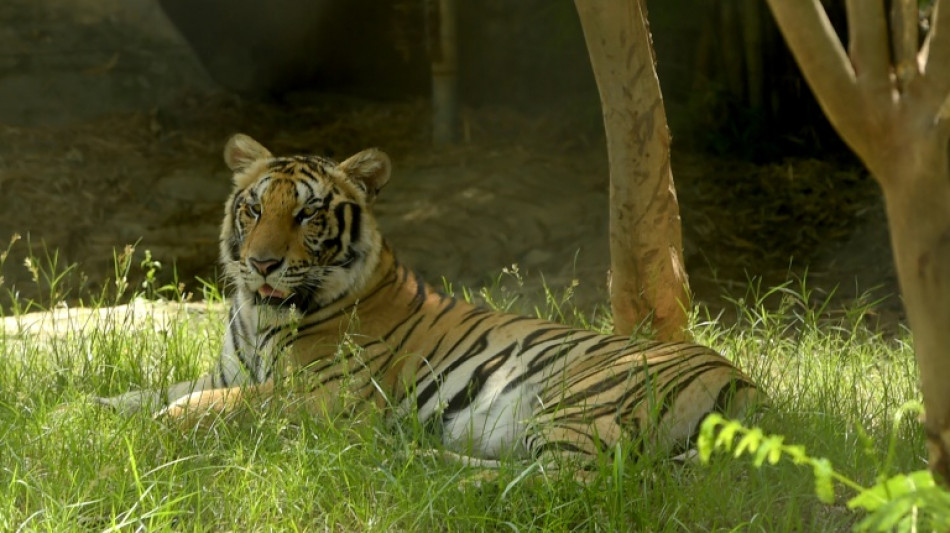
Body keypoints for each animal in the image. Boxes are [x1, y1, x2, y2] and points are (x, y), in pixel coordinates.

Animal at [98, 133, 768, 466]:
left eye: (308, 215)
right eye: (254, 209)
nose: (261, 263)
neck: (262, 318)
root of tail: (751, 390)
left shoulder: (325, 397)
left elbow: (213, 403)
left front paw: (163, 426)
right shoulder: (226, 370)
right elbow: (152, 390)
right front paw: (86, 409)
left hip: (579, 402)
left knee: (569, 482)